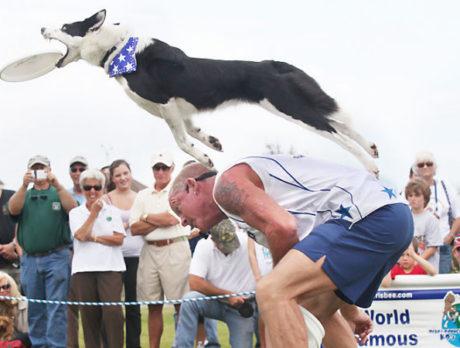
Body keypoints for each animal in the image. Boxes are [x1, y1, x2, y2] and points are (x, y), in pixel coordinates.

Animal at [40, 10, 378, 173]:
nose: (41, 28)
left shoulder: (165, 104)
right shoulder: (179, 109)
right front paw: (212, 142)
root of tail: (271, 64)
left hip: (289, 106)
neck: (118, 48)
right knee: (339, 121)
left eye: (65, 27)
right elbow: (193, 130)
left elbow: (180, 141)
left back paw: (371, 166)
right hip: (296, 102)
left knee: (336, 132)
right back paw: (373, 148)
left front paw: (205, 159)